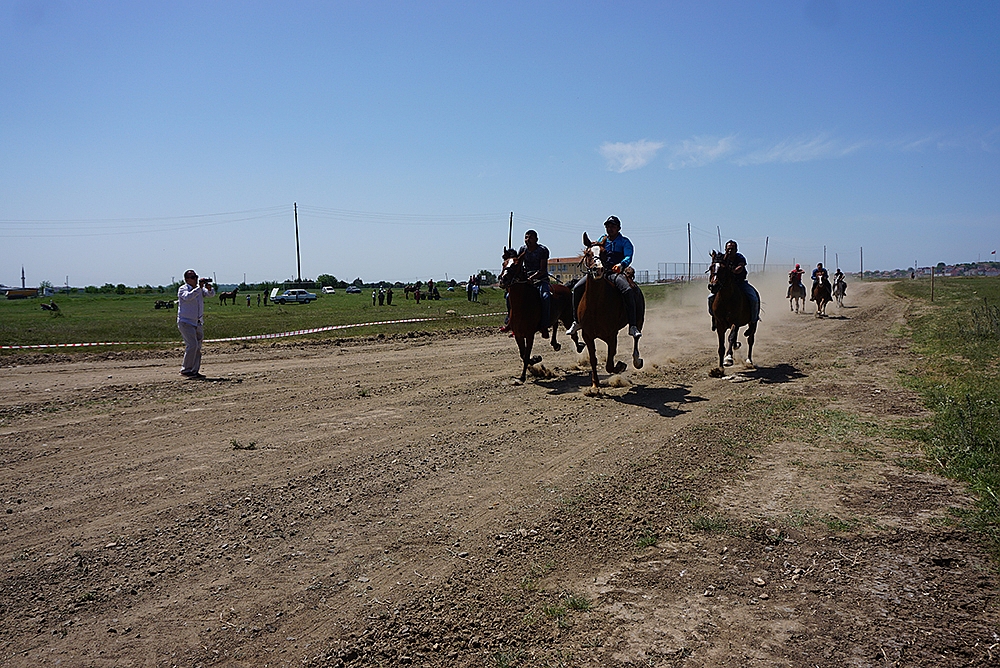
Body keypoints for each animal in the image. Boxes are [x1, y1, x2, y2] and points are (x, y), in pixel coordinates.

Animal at [576, 240, 644, 388]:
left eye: (604, 252)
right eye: (588, 253)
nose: (598, 269)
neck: (595, 305)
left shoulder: (612, 335)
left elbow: (609, 364)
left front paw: (620, 366)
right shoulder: (587, 335)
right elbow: (593, 359)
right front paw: (595, 385)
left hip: (639, 319)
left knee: (636, 338)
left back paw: (637, 360)